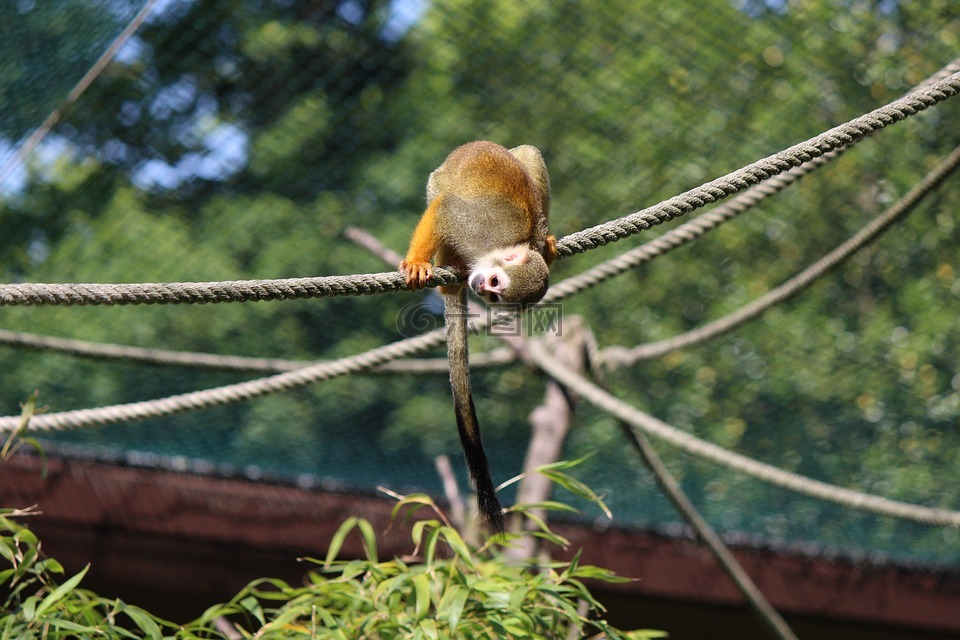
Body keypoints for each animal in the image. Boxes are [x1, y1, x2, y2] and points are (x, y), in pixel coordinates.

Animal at [400, 141, 556, 536]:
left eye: (496, 295)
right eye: (495, 284)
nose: (481, 288)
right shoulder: (473, 228)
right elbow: (445, 209)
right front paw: (418, 261)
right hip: (441, 179)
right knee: (440, 191)